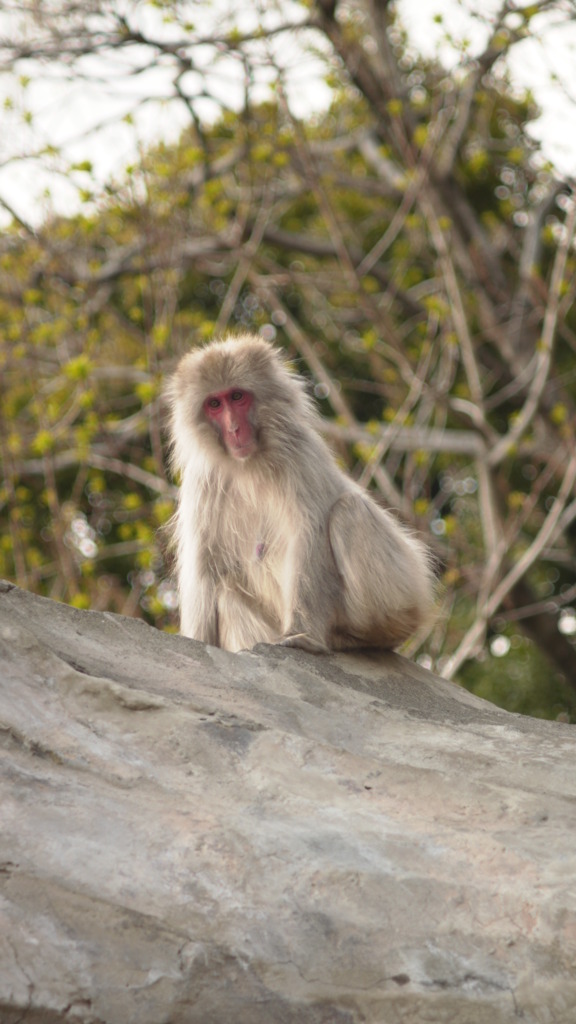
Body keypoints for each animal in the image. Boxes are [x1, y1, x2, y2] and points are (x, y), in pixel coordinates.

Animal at [167, 335, 434, 655]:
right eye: (215, 404)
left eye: (237, 397)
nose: (234, 429)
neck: (248, 466)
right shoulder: (202, 482)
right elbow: (207, 565)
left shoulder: (299, 454)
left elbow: (308, 533)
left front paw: (301, 635)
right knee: (228, 594)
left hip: (405, 590)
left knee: (349, 511)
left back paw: (358, 636)